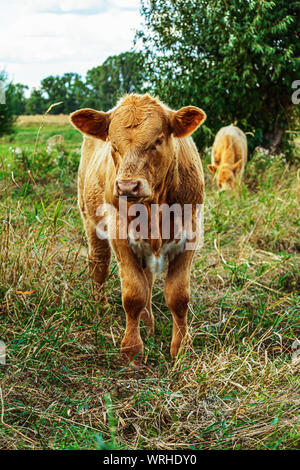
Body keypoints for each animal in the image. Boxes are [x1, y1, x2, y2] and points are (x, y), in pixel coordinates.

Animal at [70, 93, 206, 366]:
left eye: (157, 140)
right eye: (113, 144)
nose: (127, 186)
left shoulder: (190, 235)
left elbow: (178, 297)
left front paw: (181, 348)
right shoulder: (119, 236)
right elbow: (133, 294)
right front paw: (132, 349)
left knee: (148, 279)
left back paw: (147, 322)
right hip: (89, 219)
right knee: (98, 264)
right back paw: (99, 307)